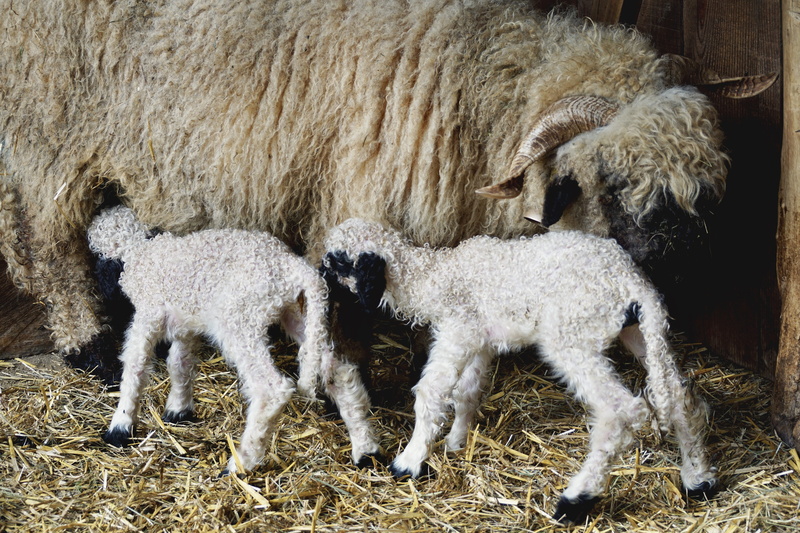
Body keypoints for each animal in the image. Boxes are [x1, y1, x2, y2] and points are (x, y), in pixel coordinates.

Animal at [0, 0, 774, 380]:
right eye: (608, 183)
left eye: (702, 195)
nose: (675, 268)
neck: (473, 90)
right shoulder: (349, 203)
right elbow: (343, 302)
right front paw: (343, 380)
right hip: (49, 132)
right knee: (49, 242)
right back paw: (89, 349)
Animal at [86, 206, 378, 474]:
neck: (140, 251)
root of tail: (294, 267)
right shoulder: (186, 323)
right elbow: (179, 364)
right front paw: (179, 410)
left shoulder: (148, 314)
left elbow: (134, 366)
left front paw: (120, 426)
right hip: (299, 315)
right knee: (339, 371)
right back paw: (365, 450)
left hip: (240, 320)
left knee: (271, 388)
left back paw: (241, 463)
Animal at [321, 218, 718, 523]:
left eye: (336, 262)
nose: (321, 281)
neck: (434, 276)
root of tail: (633, 282)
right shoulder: (480, 341)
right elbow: (466, 393)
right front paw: (456, 443)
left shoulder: (458, 330)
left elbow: (431, 393)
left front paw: (410, 461)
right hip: (641, 331)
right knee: (681, 398)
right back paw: (698, 480)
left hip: (572, 335)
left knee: (621, 411)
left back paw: (577, 499)